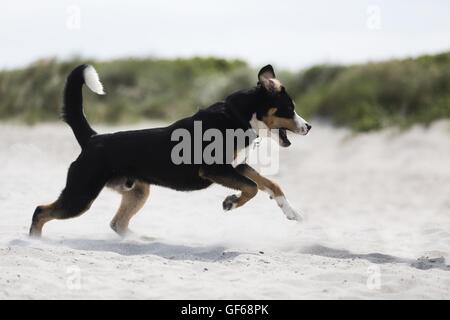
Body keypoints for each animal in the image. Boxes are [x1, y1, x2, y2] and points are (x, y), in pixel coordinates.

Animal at [28, 64, 310, 238]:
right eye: (289, 108)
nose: (308, 126)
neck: (237, 116)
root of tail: (93, 138)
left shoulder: (237, 166)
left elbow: (269, 184)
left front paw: (291, 211)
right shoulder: (215, 169)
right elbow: (251, 188)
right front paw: (230, 202)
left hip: (137, 193)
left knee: (117, 223)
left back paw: (142, 240)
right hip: (80, 196)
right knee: (40, 211)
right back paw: (35, 242)